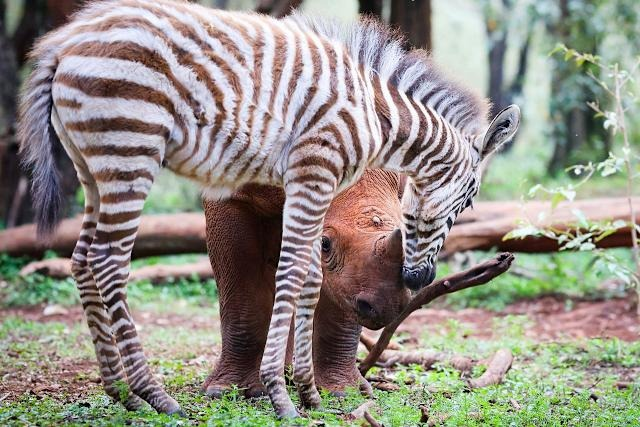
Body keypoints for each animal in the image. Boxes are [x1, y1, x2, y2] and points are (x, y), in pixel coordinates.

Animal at [18, 0, 520, 418]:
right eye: (470, 202)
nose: (407, 290)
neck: (378, 121)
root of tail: (64, 45)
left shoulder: (315, 186)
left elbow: (313, 281)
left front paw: (312, 390)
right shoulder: (298, 177)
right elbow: (280, 279)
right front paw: (276, 395)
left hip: (91, 166)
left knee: (81, 259)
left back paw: (121, 392)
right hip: (129, 152)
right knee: (109, 261)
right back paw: (155, 396)